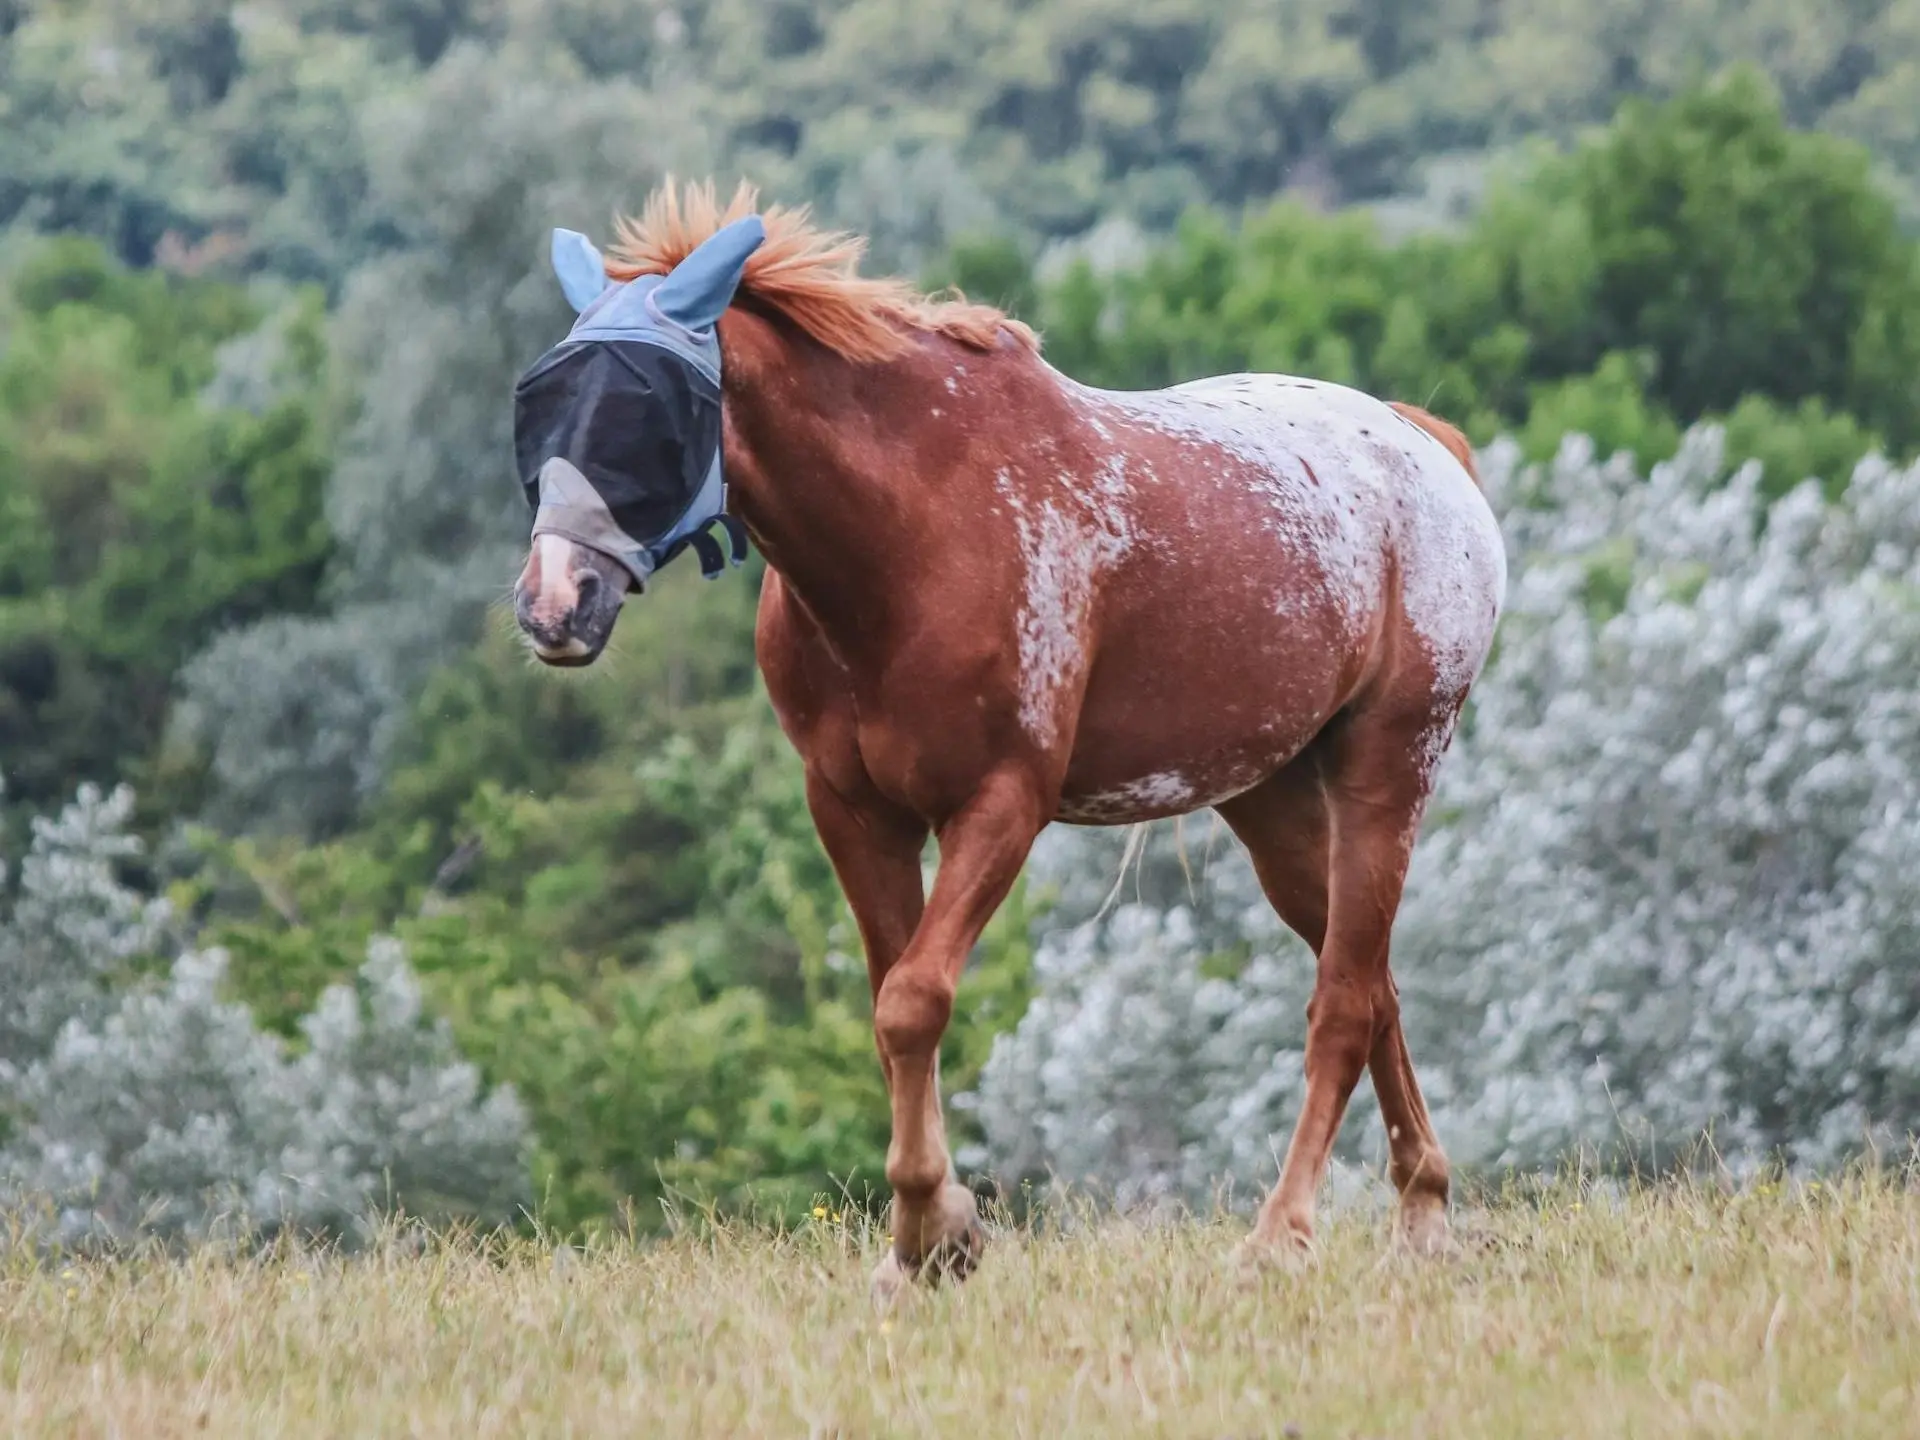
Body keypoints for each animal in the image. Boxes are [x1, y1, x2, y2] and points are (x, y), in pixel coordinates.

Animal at [518, 177, 1505, 1297]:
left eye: (646, 410)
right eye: (541, 400)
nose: (554, 604)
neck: (912, 533)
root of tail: (1422, 445)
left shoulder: (1001, 804)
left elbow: (915, 1000)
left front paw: (930, 1231)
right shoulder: (855, 811)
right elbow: (891, 1004)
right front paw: (930, 1236)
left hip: (1390, 762)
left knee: (1342, 1002)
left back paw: (1281, 1234)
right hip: (1270, 799)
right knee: (1372, 982)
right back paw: (1423, 1205)